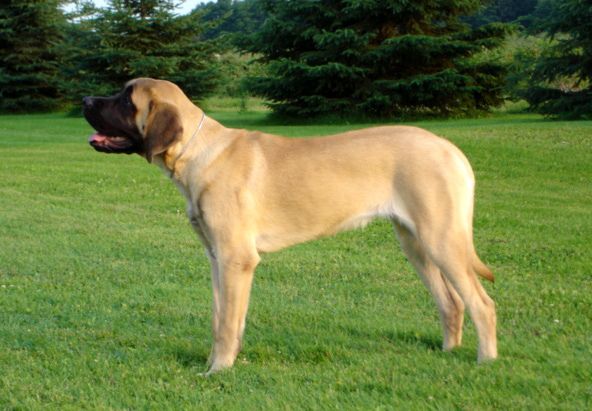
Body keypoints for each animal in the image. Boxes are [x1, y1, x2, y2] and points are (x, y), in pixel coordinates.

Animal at [83, 78, 497, 374]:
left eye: (126, 100)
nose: (86, 100)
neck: (200, 152)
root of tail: (450, 148)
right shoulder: (217, 258)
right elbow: (222, 318)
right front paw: (217, 363)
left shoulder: (236, 259)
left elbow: (227, 322)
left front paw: (218, 371)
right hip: (415, 244)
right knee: (451, 303)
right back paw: (447, 353)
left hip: (441, 239)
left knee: (482, 304)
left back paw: (486, 361)